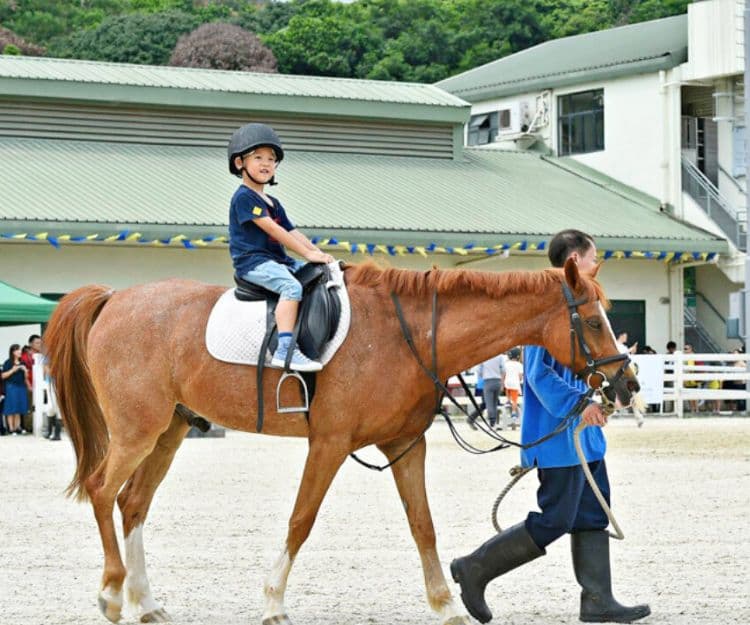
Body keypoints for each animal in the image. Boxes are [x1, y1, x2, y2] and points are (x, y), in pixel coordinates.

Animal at [44, 257, 638, 625]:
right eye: (592, 320)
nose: (628, 384)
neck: (405, 335)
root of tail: (114, 298)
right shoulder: (328, 444)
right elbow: (300, 521)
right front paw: (273, 602)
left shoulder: (405, 446)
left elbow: (422, 524)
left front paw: (447, 603)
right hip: (135, 431)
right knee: (102, 491)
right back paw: (111, 592)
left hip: (167, 431)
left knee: (133, 503)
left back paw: (145, 602)